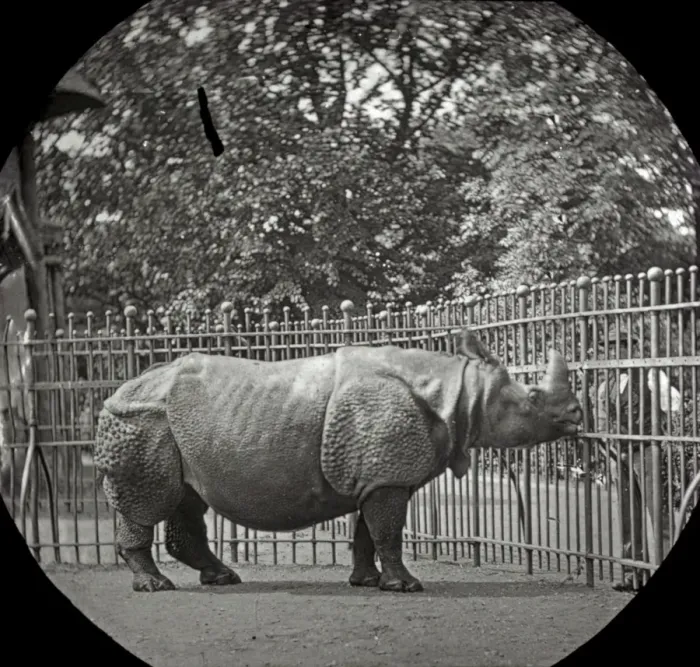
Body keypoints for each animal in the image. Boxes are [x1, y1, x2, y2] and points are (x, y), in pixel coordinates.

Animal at [93, 328, 582, 593]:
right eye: (532, 398)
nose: (578, 415)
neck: (459, 391)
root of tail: (119, 388)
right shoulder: (387, 474)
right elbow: (388, 531)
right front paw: (407, 586)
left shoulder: (377, 473)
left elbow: (368, 532)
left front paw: (367, 582)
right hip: (143, 419)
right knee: (150, 500)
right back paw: (156, 586)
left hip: (174, 426)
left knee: (187, 499)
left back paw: (222, 577)